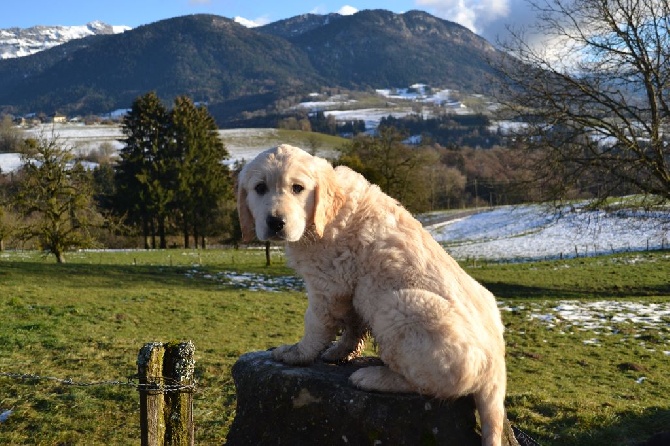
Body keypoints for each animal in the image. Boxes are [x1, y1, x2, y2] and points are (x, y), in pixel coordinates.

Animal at [239, 145, 506, 444]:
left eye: (297, 188)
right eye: (259, 188)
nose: (275, 222)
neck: (325, 215)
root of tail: (497, 369)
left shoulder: (328, 284)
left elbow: (316, 325)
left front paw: (297, 353)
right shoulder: (350, 286)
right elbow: (352, 324)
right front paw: (340, 351)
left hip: (396, 305)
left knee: (427, 385)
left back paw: (372, 377)